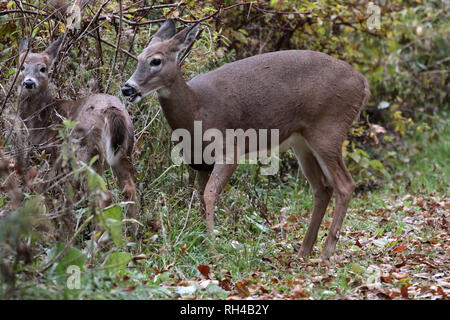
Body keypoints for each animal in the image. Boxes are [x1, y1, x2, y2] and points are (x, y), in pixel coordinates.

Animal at [16, 37, 138, 234]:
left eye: (43, 68)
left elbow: (50, 192)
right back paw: (133, 234)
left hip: (86, 152)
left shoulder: (53, 154)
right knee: (129, 189)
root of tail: (112, 110)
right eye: (22, 66)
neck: (43, 119)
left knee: (103, 196)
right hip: (124, 150)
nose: (28, 82)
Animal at [122, 20, 370, 258]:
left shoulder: (230, 150)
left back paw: (327, 252)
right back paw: (304, 251)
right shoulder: (200, 162)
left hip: (329, 127)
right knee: (322, 188)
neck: (196, 110)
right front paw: (203, 240)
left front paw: (213, 248)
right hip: (302, 142)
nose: (127, 88)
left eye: (156, 61)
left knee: (345, 184)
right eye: (138, 58)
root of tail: (363, 84)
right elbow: (202, 197)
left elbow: (210, 194)